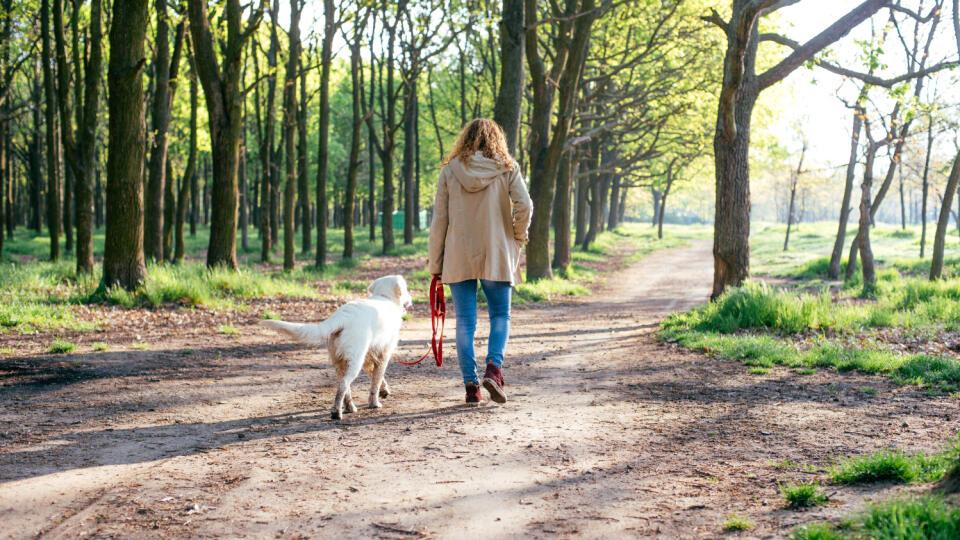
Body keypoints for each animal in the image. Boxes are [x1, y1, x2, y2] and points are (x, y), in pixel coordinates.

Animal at [262, 276, 412, 420]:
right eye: (406, 288)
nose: (410, 299)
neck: (385, 297)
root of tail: (341, 316)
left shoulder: (370, 356)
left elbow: (376, 377)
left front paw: (384, 391)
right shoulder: (383, 354)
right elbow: (376, 380)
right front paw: (374, 403)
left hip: (340, 360)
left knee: (343, 385)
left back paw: (349, 407)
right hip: (355, 361)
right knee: (344, 385)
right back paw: (336, 413)